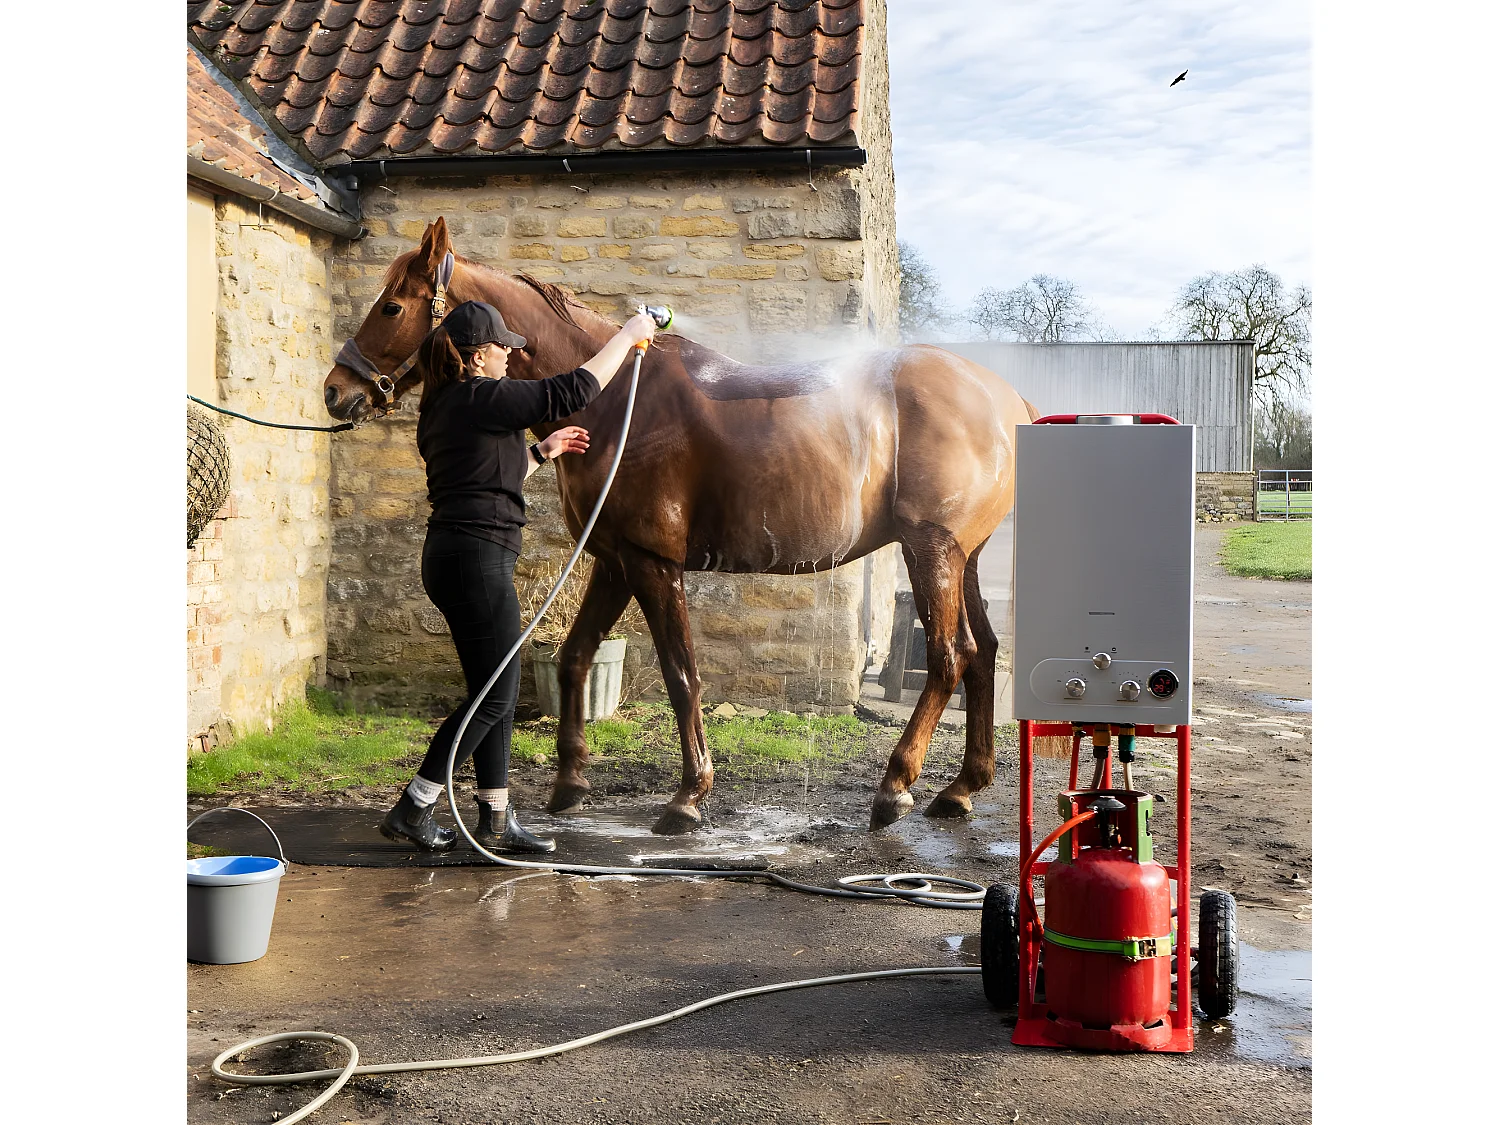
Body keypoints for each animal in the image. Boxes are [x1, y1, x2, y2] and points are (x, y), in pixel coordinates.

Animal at [325, 218, 1039, 834]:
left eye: (392, 307)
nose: (336, 390)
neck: (616, 400)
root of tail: (1007, 399)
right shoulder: (614, 561)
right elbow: (576, 658)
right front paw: (569, 784)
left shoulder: (652, 562)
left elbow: (681, 672)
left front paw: (688, 797)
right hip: (962, 558)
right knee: (983, 655)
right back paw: (961, 789)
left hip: (931, 550)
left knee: (949, 657)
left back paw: (895, 787)